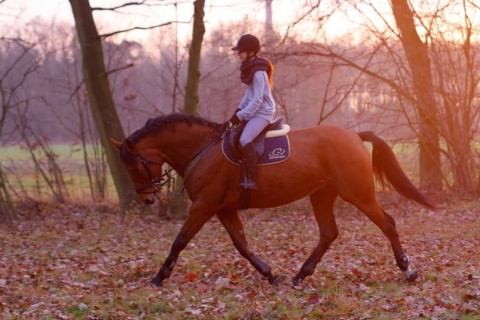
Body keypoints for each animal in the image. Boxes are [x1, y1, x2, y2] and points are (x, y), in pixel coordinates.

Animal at [109, 113, 436, 288]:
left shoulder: (204, 206)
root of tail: (354, 135)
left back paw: (408, 270)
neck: (202, 149)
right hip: (322, 195)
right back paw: (300, 275)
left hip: (358, 194)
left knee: (387, 223)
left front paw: (158, 278)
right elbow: (242, 245)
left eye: (134, 166)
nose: (147, 199)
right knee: (328, 233)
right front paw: (270, 274)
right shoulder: (224, 209)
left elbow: (179, 241)